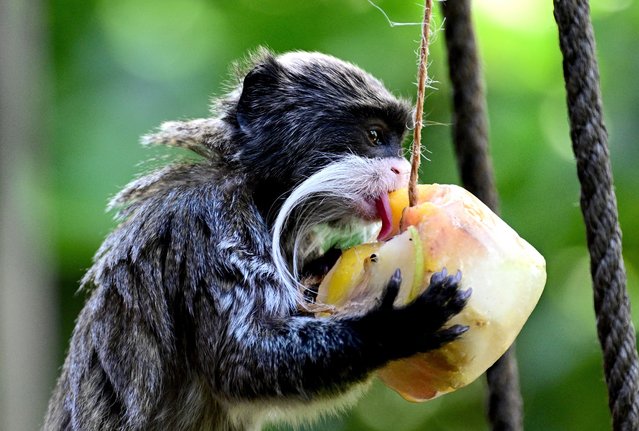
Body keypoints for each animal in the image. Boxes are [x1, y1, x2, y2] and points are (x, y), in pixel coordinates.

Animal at [43, 49, 470, 430]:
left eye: (398, 141)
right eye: (375, 135)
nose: (401, 168)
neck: (261, 195)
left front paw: (325, 265)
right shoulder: (208, 227)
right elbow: (241, 362)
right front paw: (396, 327)